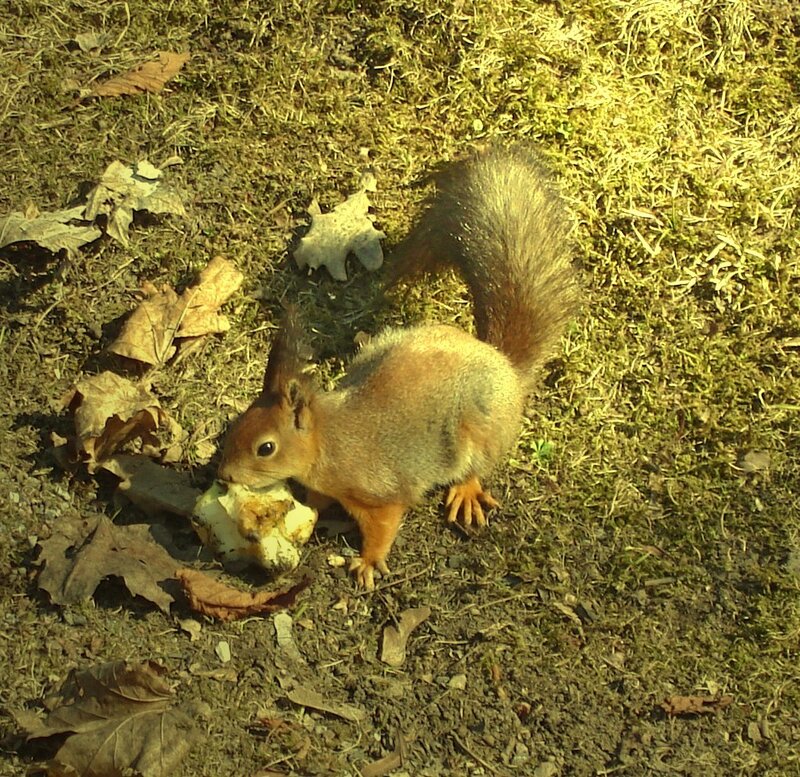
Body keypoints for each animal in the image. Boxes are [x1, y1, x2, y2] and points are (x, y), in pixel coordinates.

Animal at [218, 145, 577, 589]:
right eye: (239, 422)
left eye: (265, 448)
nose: (224, 475)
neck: (328, 441)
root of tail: (505, 365)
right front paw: (311, 512)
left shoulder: (380, 493)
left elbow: (384, 526)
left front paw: (368, 562)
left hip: (480, 428)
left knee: (476, 467)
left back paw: (466, 491)